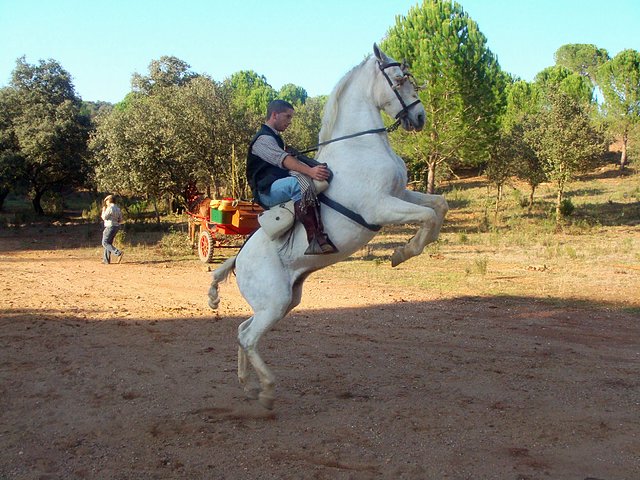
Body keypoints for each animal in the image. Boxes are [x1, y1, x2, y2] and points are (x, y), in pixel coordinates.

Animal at [208, 45, 448, 410]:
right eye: (398, 79)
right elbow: (429, 217)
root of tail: (238, 259)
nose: (419, 118)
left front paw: (405, 251)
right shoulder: (381, 205)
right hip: (275, 302)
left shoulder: (400, 194)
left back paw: (247, 386)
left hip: (281, 303)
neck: (360, 147)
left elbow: (439, 207)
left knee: (241, 330)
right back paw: (266, 390)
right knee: (248, 336)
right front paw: (401, 253)